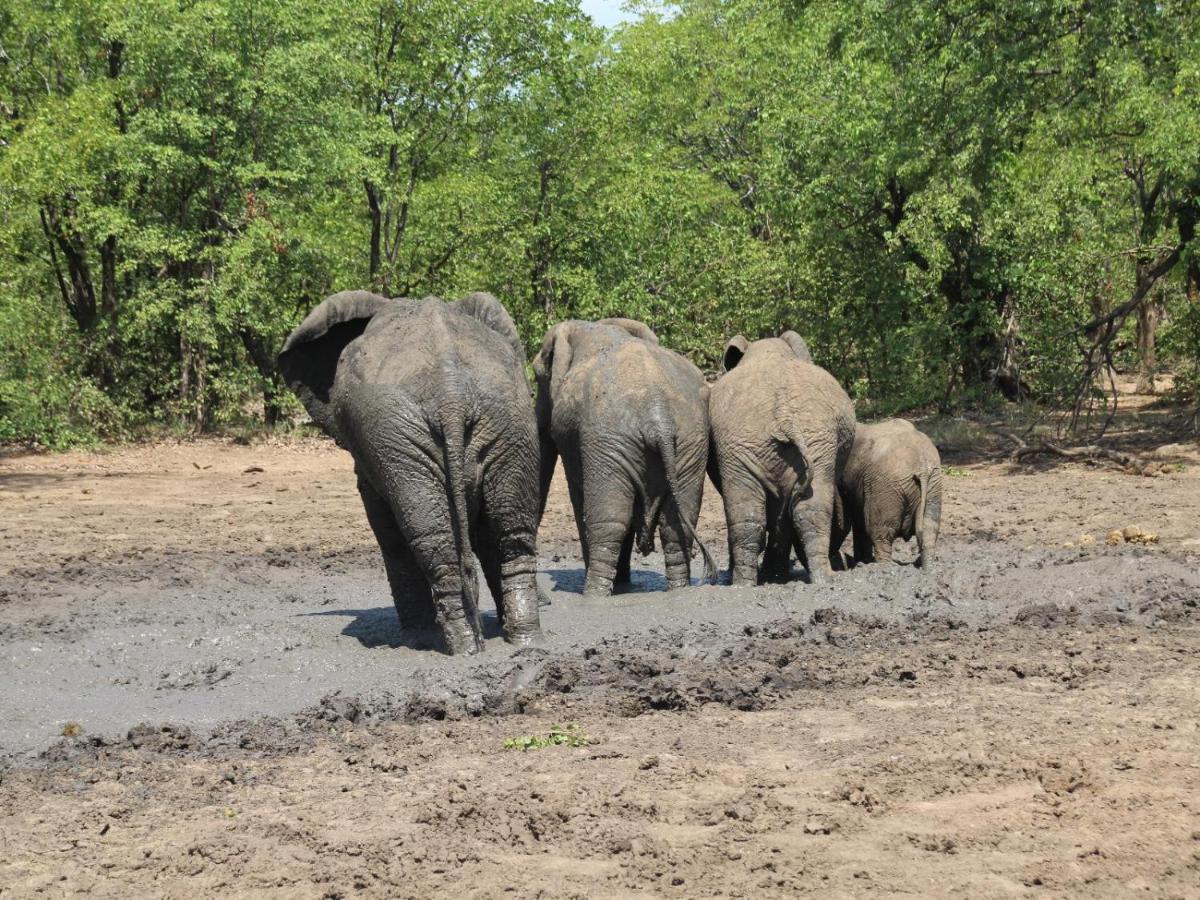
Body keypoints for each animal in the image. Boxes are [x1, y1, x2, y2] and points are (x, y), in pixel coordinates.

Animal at [278, 292, 542, 657]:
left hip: (400, 438)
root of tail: (451, 395)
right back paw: (523, 640)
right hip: (509, 421)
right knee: (511, 533)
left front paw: (418, 638)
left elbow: (387, 530)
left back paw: (454, 647)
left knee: (432, 542)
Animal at [540, 319, 715, 600]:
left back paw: (594, 594)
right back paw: (679, 589)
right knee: (676, 522)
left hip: (609, 440)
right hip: (690, 438)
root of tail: (659, 416)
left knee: (609, 521)